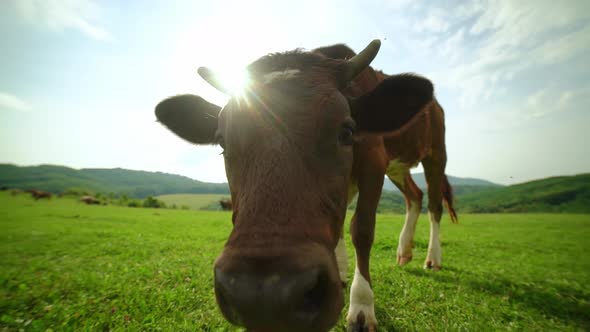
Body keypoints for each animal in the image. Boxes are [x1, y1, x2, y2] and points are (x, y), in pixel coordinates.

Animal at [156, 39, 458, 332]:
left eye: (346, 131)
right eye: (222, 142)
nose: (263, 295)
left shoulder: (374, 159)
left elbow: (361, 229)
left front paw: (361, 306)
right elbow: (338, 225)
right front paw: (342, 273)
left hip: (436, 154)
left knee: (434, 204)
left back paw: (433, 258)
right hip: (399, 166)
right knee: (414, 196)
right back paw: (404, 251)